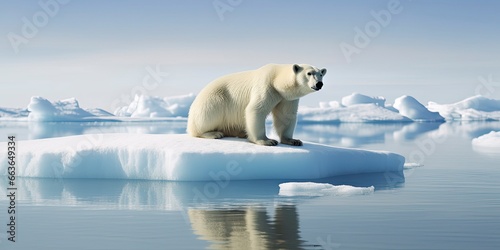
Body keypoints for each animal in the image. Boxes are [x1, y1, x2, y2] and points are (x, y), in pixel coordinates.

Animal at [186, 64, 326, 146]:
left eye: (321, 74)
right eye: (309, 73)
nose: (319, 84)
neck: (277, 79)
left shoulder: (286, 98)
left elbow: (286, 116)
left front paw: (293, 140)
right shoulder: (266, 86)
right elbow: (256, 110)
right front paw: (267, 140)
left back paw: (241, 133)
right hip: (213, 100)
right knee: (207, 116)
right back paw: (214, 133)